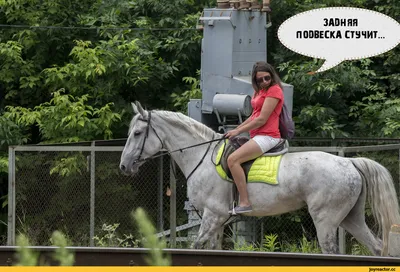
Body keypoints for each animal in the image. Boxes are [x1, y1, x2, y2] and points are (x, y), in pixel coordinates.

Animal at [119, 101, 400, 256]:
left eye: (137, 133)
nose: (123, 166)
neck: (201, 156)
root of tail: (349, 162)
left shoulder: (212, 216)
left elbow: (196, 247)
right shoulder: (218, 222)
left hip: (326, 220)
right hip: (351, 218)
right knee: (377, 247)